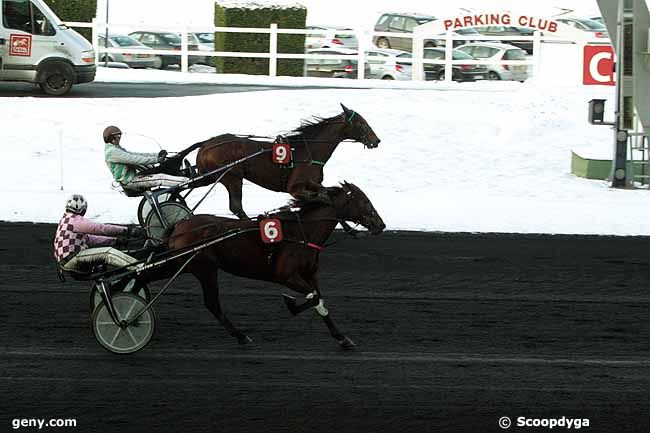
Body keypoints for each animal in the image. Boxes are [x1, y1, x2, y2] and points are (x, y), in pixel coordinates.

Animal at [165, 181, 384, 348]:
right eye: (365, 200)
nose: (380, 225)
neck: (301, 234)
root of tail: (180, 225)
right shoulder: (286, 276)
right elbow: (313, 298)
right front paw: (291, 304)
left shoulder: (310, 274)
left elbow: (319, 299)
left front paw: (342, 338)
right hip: (204, 269)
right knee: (212, 303)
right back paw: (241, 335)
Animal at [184, 104, 380, 218]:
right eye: (361, 123)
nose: (376, 140)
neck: (308, 151)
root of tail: (206, 144)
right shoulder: (295, 188)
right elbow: (322, 197)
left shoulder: (313, 184)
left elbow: (324, 193)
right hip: (232, 177)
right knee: (236, 207)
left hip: (209, 176)